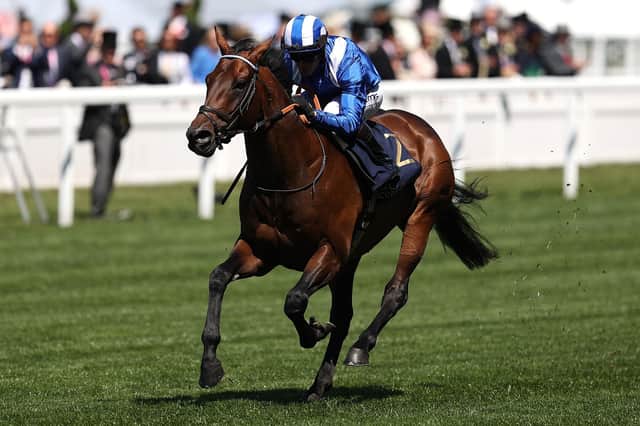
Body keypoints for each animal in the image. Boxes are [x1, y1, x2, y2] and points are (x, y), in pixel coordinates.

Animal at [185, 28, 497, 401]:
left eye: (240, 82)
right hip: (352, 256)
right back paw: (320, 383)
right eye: (208, 78)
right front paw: (209, 366)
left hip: (420, 216)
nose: (198, 135)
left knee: (396, 291)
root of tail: (420, 127)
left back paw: (361, 347)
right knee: (345, 314)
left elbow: (294, 300)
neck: (290, 172)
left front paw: (313, 332)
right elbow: (217, 278)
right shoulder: (261, 251)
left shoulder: (330, 250)